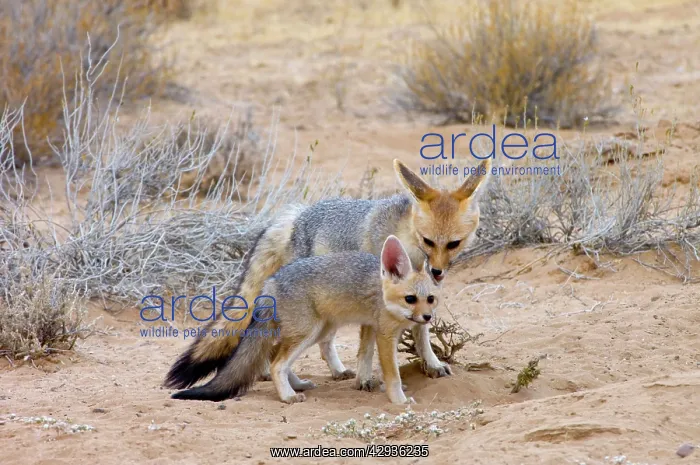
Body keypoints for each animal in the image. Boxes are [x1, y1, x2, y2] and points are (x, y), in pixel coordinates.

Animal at [171, 235, 440, 404]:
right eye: (410, 299)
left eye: (431, 299)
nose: (427, 317)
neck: (384, 294)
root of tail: (271, 281)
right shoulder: (385, 335)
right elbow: (393, 375)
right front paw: (399, 401)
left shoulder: (372, 327)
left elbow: (365, 356)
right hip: (307, 332)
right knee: (277, 364)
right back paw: (288, 396)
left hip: (315, 332)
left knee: (274, 356)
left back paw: (297, 386)